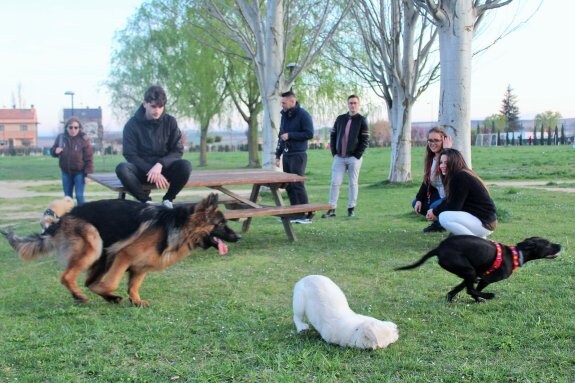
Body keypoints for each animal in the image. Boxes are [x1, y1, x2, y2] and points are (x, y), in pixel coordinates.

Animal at [2, 194, 241, 308]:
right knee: (68, 277)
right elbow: (112, 282)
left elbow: (133, 286)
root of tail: (63, 218)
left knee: (87, 281)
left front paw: (135, 300)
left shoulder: (141, 267)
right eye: (220, 224)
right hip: (95, 246)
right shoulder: (123, 255)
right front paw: (109, 291)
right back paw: (80, 295)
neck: (179, 226)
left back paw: (107, 298)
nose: (238, 237)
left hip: (102, 256)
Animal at [396, 237, 564, 304]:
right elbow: (474, 290)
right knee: (471, 289)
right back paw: (489, 296)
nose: (560, 245)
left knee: (466, 286)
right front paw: (480, 298)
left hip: (469, 271)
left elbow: (458, 288)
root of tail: (439, 248)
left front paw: (450, 297)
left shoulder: (475, 275)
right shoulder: (486, 278)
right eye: (547, 244)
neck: (516, 254)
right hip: (469, 271)